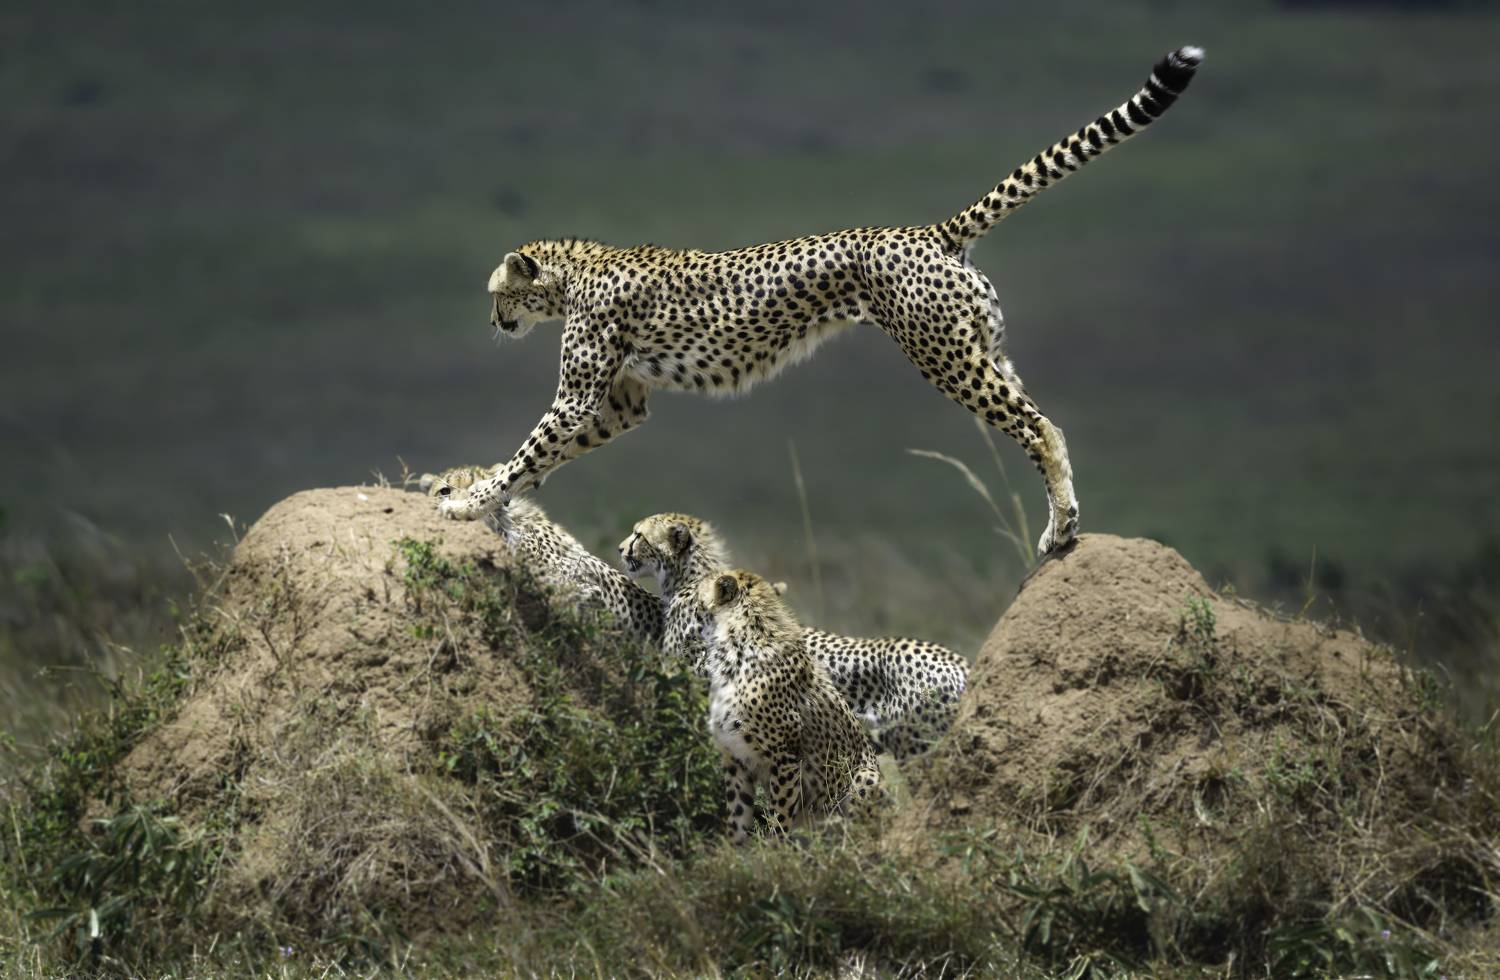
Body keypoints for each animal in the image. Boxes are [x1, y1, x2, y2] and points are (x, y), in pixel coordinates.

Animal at [435, 46, 1205, 558]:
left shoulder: (579, 399)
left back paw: (1062, 525)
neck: (574, 274)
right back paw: (1065, 520)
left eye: (498, 293)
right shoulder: (620, 406)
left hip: (944, 355)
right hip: (982, 346)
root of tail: (928, 232)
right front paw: (489, 497)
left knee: (1038, 425)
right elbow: (543, 457)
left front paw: (469, 500)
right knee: (1044, 419)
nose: (493, 319)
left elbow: (529, 449)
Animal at [692, 568, 882, 843]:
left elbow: (780, 819)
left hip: (865, 778)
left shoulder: (786, 758)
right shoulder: (735, 758)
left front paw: (773, 850)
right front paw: (738, 851)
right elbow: (738, 817)